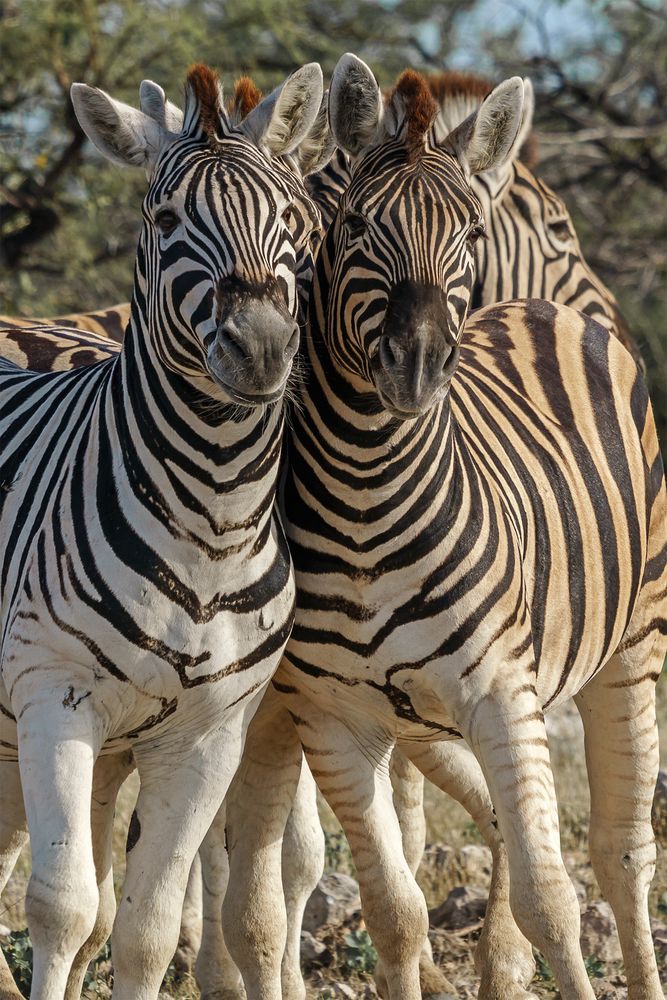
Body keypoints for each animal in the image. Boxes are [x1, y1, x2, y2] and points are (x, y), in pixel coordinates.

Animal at [0, 60, 326, 1000]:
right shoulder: (54, 698)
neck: (209, 521)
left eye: (291, 221)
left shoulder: (208, 735)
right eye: (167, 218)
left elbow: (142, 928)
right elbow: (64, 907)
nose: (262, 348)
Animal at [218, 54, 664, 1000]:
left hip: (630, 648)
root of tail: (542, 312)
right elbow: (395, 910)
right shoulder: (335, 720)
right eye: (357, 225)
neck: (365, 496)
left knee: (619, 856)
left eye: (467, 232)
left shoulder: (499, 694)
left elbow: (550, 901)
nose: (417, 364)